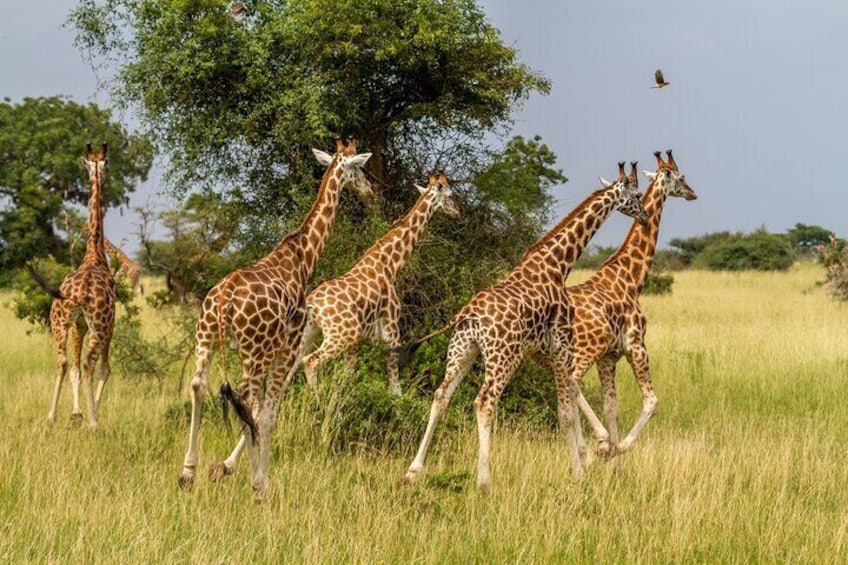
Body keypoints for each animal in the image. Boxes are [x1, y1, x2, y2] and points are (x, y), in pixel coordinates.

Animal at [178, 139, 372, 500]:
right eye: (359, 169)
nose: (369, 190)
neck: (304, 255)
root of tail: (224, 297)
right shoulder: (288, 346)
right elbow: (268, 414)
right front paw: (260, 482)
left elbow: (260, 413)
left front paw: (230, 471)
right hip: (253, 351)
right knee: (249, 403)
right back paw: (255, 484)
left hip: (206, 336)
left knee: (199, 385)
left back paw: (187, 472)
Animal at [298, 170, 458, 394]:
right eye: (451, 195)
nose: (458, 213)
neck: (390, 264)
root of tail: (314, 304)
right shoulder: (391, 332)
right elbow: (395, 388)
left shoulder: (357, 343)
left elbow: (348, 376)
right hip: (342, 333)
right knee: (310, 361)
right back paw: (316, 397)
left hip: (310, 333)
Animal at [400, 162, 644, 490]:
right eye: (637, 194)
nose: (644, 215)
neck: (557, 265)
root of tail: (468, 315)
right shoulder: (560, 345)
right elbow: (565, 412)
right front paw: (579, 472)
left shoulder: (547, 350)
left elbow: (567, 406)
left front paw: (585, 462)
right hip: (503, 356)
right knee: (484, 403)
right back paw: (484, 481)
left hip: (462, 350)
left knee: (441, 396)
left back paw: (413, 471)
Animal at [568, 150, 700, 458]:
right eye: (682, 177)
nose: (693, 193)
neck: (632, 278)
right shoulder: (636, 345)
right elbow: (652, 401)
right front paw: (619, 446)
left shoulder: (608, 357)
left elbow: (611, 407)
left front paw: (614, 456)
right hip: (583, 350)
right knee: (571, 383)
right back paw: (597, 443)